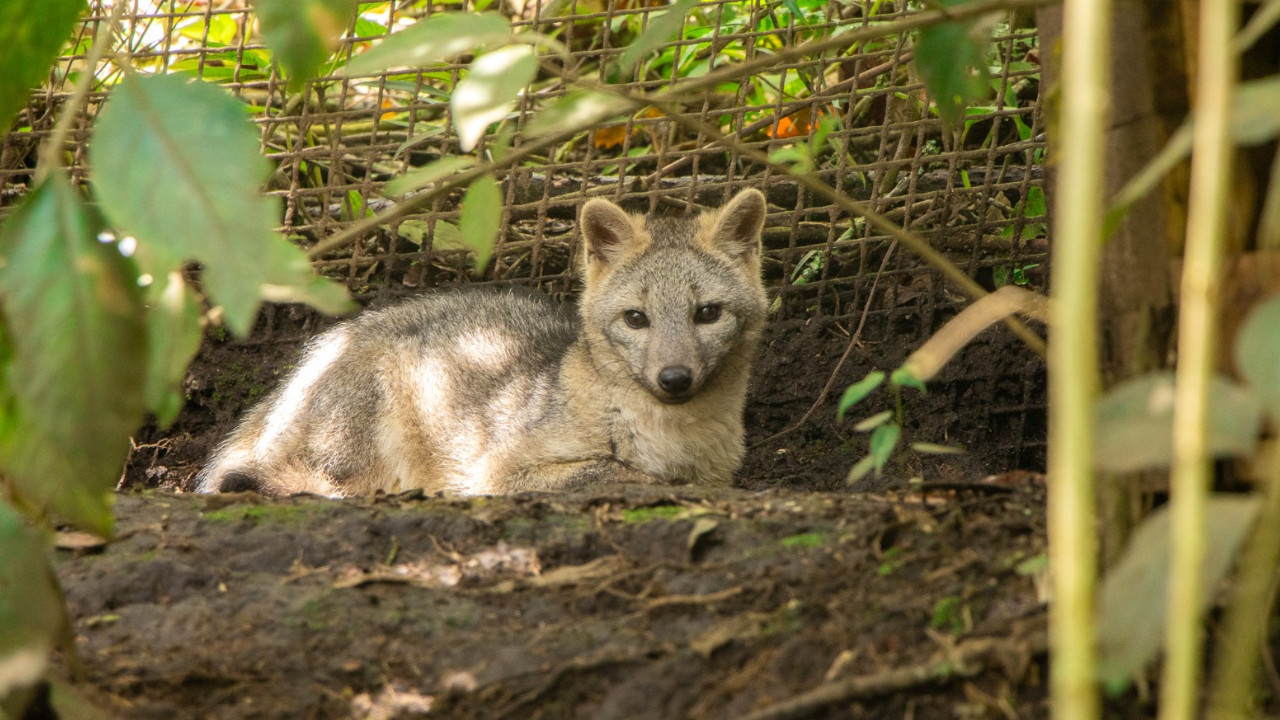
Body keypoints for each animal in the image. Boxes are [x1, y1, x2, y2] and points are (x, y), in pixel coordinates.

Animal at [194, 188, 762, 497]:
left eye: (707, 314)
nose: (674, 378)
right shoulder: (502, 471)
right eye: (637, 319)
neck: (670, 439)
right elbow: (615, 471)